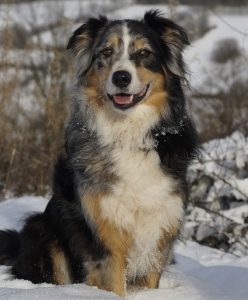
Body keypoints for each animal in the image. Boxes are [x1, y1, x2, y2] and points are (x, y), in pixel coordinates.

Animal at [0, 10, 199, 296]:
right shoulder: (103, 230)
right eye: (106, 52)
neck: (128, 132)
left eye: (144, 53)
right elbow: (112, 281)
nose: (121, 77)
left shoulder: (159, 228)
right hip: (43, 232)